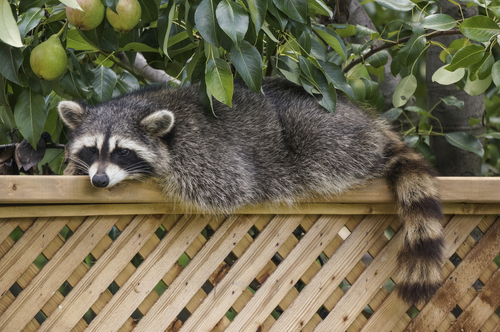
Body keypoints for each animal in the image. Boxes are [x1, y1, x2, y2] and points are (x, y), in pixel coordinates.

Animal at [58, 76, 446, 304]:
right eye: (91, 149)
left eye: (123, 151)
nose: (100, 180)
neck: (145, 106)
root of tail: (371, 127)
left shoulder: (204, 153)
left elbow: (225, 185)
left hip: (326, 134)